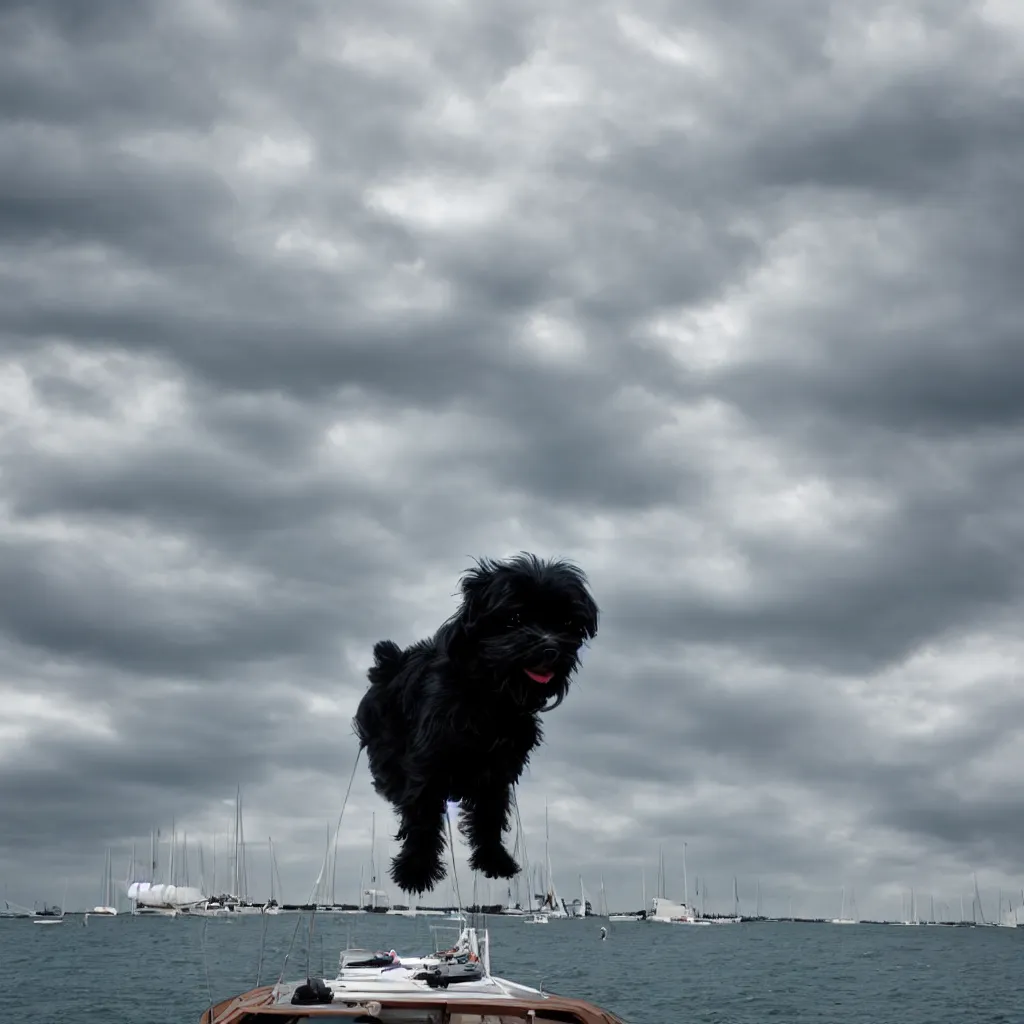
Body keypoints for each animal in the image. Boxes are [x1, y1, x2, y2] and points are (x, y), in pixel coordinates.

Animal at [354, 552, 598, 897]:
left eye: (565, 623)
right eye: (515, 618)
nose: (551, 648)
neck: (489, 697)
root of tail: (388, 664)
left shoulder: (498, 771)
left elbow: (490, 816)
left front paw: (494, 861)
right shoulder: (428, 763)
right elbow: (422, 817)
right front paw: (416, 870)